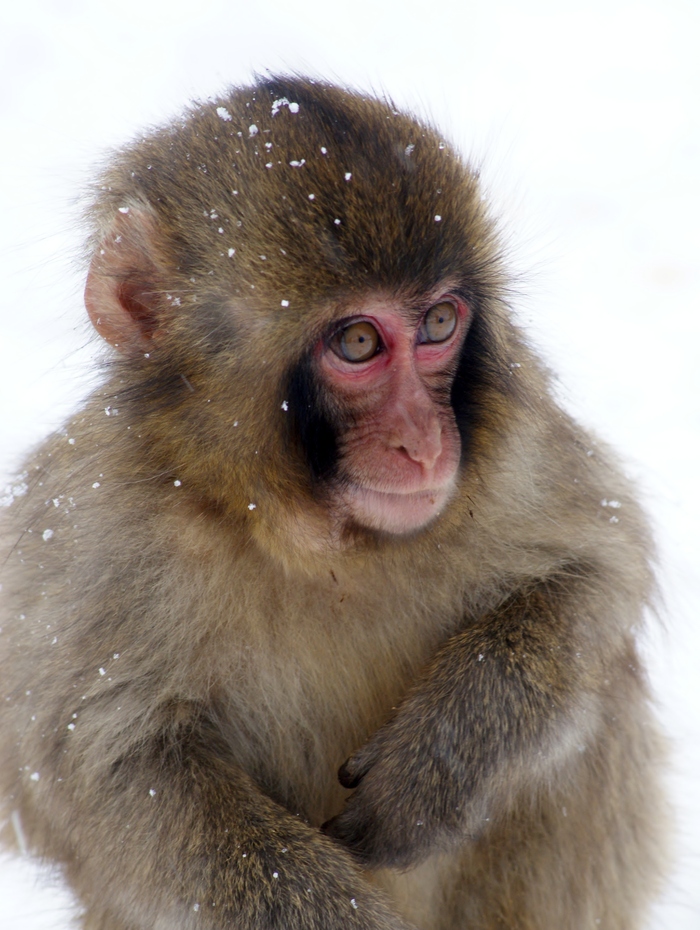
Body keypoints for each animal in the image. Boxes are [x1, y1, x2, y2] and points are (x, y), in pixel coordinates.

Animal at [0, 78, 668, 928]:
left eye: (439, 323)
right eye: (358, 343)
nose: (426, 443)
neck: (317, 542)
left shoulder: (515, 461)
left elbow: (602, 568)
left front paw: (438, 762)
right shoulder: (97, 532)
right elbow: (107, 762)